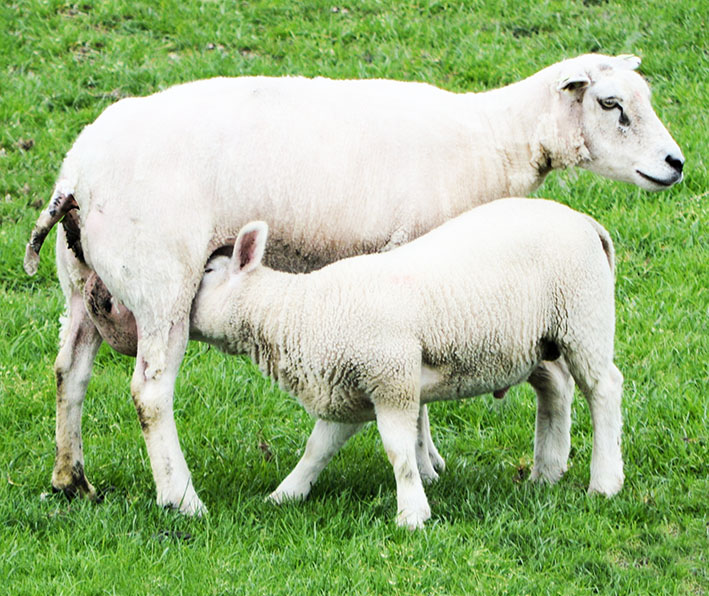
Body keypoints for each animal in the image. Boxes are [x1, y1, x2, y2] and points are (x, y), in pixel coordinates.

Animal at [187, 198, 623, 529]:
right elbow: (317, 449)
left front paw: (412, 514)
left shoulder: (391, 378)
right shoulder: (350, 389)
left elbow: (398, 451)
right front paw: (284, 495)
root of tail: (587, 223)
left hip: (583, 316)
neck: (300, 314)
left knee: (604, 389)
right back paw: (546, 472)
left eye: (207, 272)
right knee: (556, 388)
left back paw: (604, 481)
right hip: (535, 340)